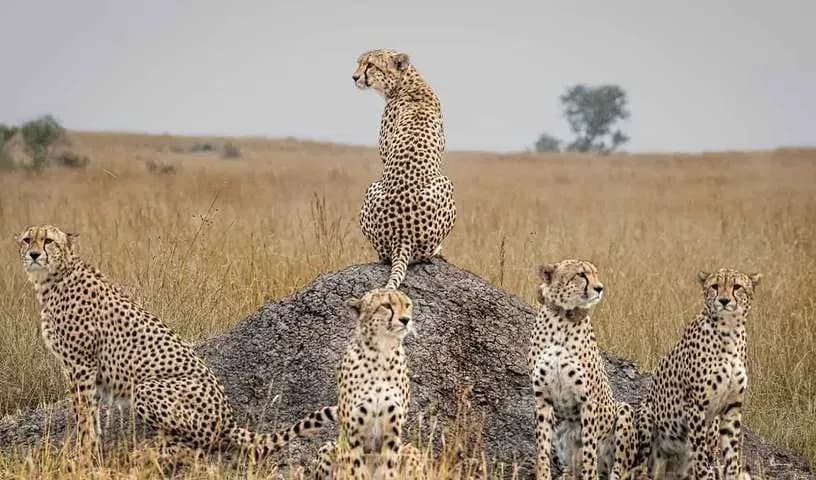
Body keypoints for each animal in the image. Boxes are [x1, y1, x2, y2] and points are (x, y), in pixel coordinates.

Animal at [15, 224, 335, 461]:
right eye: (27, 239)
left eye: (48, 241)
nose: (33, 254)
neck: (55, 277)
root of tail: (229, 418)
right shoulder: (81, 368)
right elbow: (89, 415)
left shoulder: (81, 365)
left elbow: (84, 415)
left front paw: (84, 455)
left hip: (147, 389)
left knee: (201, 446)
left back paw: (154, 452)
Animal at [528, 259, 637, 480]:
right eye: (581, 275)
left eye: (595, 274)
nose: (600, 288)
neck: (561, 319)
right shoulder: (542, 400)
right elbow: (542, 447)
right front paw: (543, 474)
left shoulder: (588, 400)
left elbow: (589, 449)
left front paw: (590, 475)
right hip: (562, 430)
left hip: (624, 411)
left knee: (618, 468)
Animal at [634, 269, 761, 480]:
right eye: (715, 286)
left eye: (737, 287)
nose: (724, 301)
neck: (729, 332)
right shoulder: (696, 405)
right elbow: (700, 452)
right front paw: (704, 473)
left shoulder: (732, 407)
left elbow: (732, 453)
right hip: (646, 414)